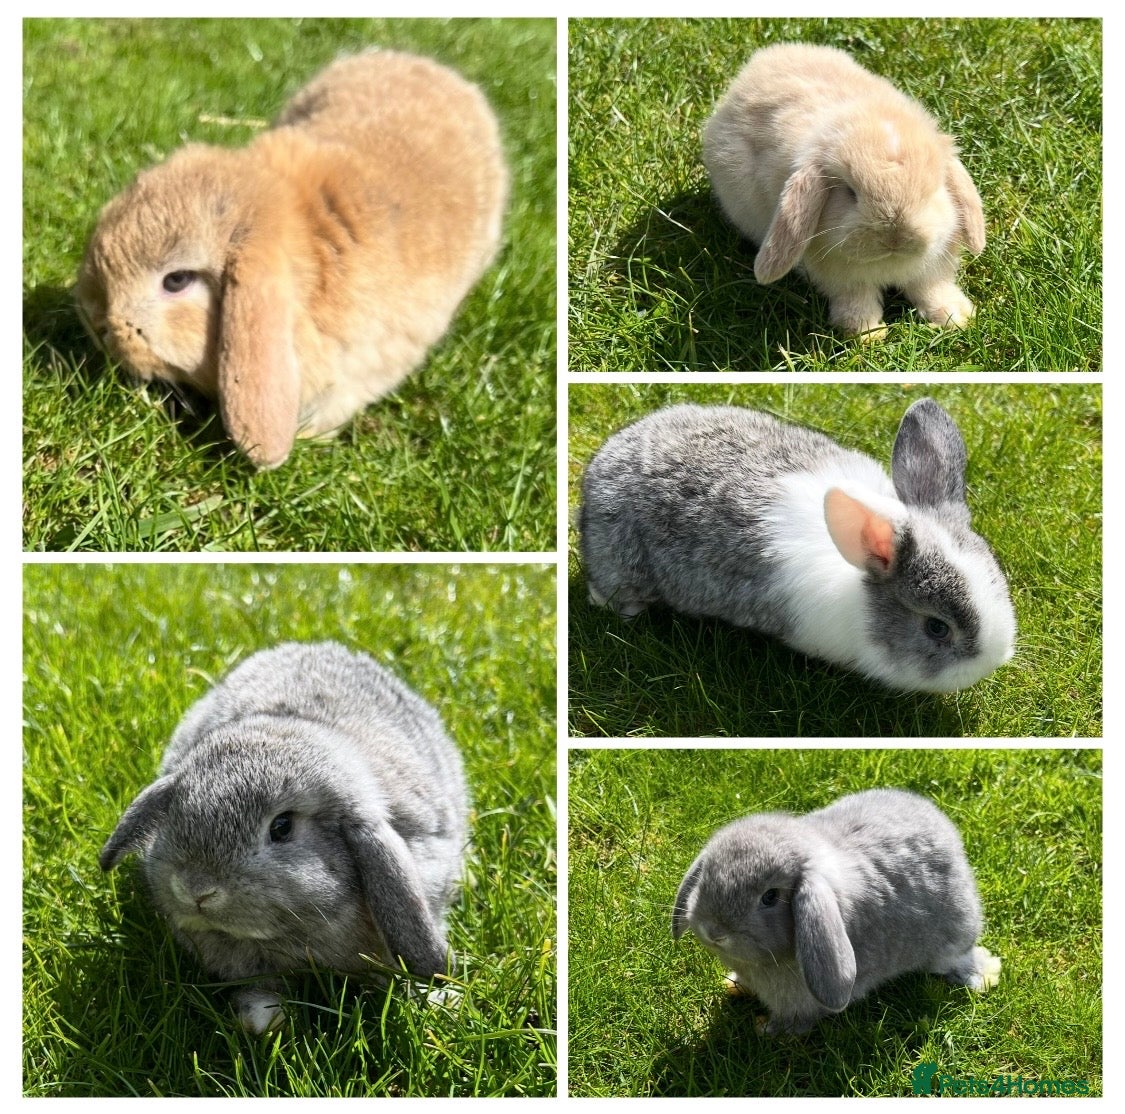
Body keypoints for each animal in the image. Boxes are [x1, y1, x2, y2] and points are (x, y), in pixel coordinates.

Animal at [672, 788, 1002, 1035]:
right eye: (707, 875)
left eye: (770, 897)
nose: (714, 932)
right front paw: (733, 984)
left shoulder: (799, 1004)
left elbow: (795, 1023)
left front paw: (764, 1029)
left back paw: (984, 974)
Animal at [702, 43, 986, 340]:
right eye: (850, 192)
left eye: (932, 190)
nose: (895, 236)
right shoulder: (842, 279)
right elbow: (856, 299)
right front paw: (867, 334)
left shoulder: (933, 267)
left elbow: (932, 288)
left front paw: (956, 318)